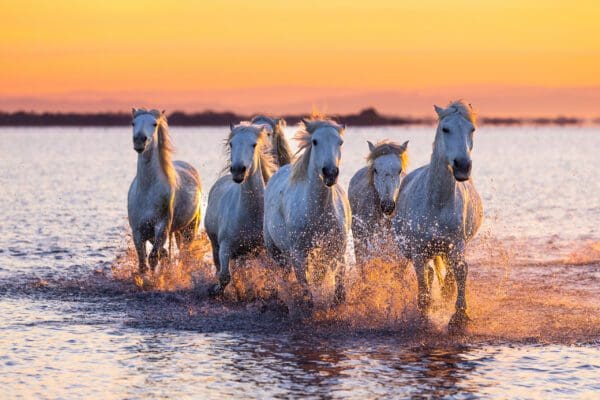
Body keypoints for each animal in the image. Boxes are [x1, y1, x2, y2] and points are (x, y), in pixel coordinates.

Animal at [126, 108, 202, 274]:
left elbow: (153, 258)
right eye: (133, 123)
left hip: (189, 229)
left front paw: (157, 278)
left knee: (185, 252)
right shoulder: (138, 231)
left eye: (154, 124)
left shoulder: (161, 228)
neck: (147, 191)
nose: (139, 141)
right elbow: (143, 263)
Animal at [203, 123, 276, 296]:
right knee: (219, 266)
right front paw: (217, 290)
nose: (237, 170)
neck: (250, 214)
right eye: (231, 144)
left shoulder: (262, 250)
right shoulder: (225, 247)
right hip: (215, 244)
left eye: (254, 144)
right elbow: (224, 276)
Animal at [264, 115, 352, 310]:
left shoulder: (336, 251)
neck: (318, 213)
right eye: (315, 141)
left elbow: (336, 284)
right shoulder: (298, 253)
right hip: (274, 249)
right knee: (281, 274)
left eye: (340, 142)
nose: (330, 173)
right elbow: (305, 285)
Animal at [394, 101, 482, 332]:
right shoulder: (418, 251)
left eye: (472, 129)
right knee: (428, 273)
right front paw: (424, 319)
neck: (437, 202)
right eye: (445, 129)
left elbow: (459, 271)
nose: (462, 166)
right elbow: (423, 283)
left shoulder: (455, 244)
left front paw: (459, 317)